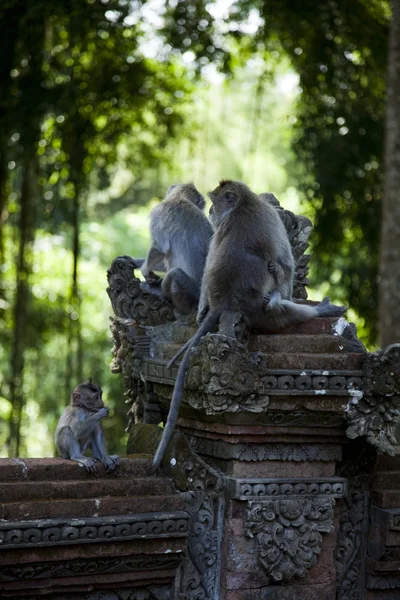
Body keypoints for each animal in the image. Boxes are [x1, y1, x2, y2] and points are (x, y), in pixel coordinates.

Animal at [141, 183, 216, 314]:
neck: (180, 197)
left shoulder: (158, 212)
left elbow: (160, 249)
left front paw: (145, 270)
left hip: (189, 292)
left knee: (174, 273)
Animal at [152, 180, 346, 472]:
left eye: (215, 201)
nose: (211, 211)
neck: (245, 204)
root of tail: (224, 303)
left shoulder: (221, 228)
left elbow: (209, 263)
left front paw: (200, 309)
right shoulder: (269, 217)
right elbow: (285, 264)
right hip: (258, 313)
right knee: (279, 300)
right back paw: (318, 310)